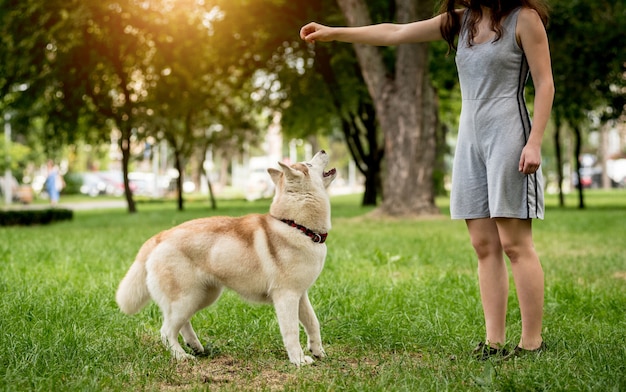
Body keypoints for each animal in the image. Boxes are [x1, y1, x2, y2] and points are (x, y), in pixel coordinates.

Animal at [114, 151, 334, 368]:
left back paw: (195, 346)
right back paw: (181, 356)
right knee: (166, 331)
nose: (323, 151)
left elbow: (313, 323)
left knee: (180, 325)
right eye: (308, 164)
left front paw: (318, 351)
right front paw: (298, 360)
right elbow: (292, 331)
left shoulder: (301, 295)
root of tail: (161, 236)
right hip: (186, 299)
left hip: (201, 297)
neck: (296, 226)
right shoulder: (286, 296)